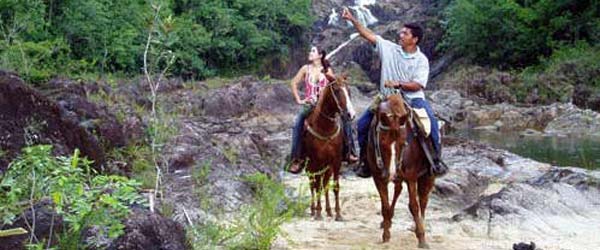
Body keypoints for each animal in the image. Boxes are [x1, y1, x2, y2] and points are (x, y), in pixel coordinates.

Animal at [300, 75, 356, 220]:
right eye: (336, 90)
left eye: (348, 90)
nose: (351, 114)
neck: (325, 129)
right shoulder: (316, 162)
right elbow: (317, 186)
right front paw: (319, 213)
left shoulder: (336, 162)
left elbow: (335, 186)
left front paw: (338, 213)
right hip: (310, 167)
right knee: (313, 184)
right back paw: (314, 210)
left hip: (327, 167)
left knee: (324, 184)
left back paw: (329, 210)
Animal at [366, 94, 436, 248]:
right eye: (382, 142)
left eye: (404, 143)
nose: (392, 173)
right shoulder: (378, 177)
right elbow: (385, 207)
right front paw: (386, 235)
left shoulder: (411, 177)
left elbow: (414, 206)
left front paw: (422, 239)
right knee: (398, 190)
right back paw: (388, 222)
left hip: (427, 177)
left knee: (423, 201)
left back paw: (417, 226)